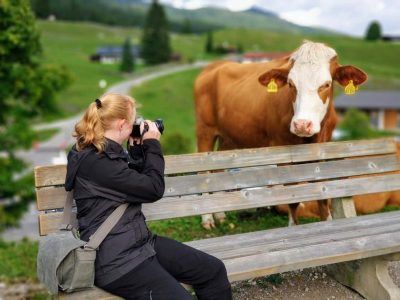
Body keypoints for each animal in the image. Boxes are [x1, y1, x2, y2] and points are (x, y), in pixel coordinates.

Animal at [195, 40, 368, 230]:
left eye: (326, 84)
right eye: (291, 84)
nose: (302, 124)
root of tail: (215, 65)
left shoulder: (323, 147)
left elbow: (323, 194)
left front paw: (328, 222)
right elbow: (292, 196)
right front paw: (293, 225)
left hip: (228, 138)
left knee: (218, 170)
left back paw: (220, 215)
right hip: (204, 131)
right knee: (203, 173)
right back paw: (207, 219)